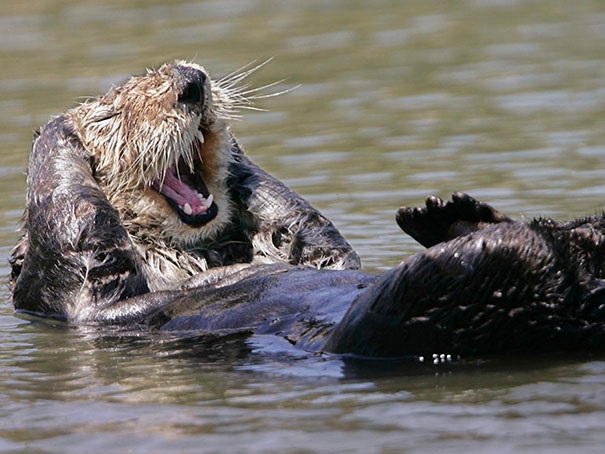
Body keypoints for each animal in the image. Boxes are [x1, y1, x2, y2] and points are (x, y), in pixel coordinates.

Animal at [9, 61, 605, 358]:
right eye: (112, 116)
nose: (191, 83)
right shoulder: (76, 293)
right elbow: (76, 233)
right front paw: (57, 131)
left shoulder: (315, 246)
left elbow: (312, 236)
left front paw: (242, 166)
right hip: (414, 316)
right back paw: (481, 234)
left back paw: (451, 215)